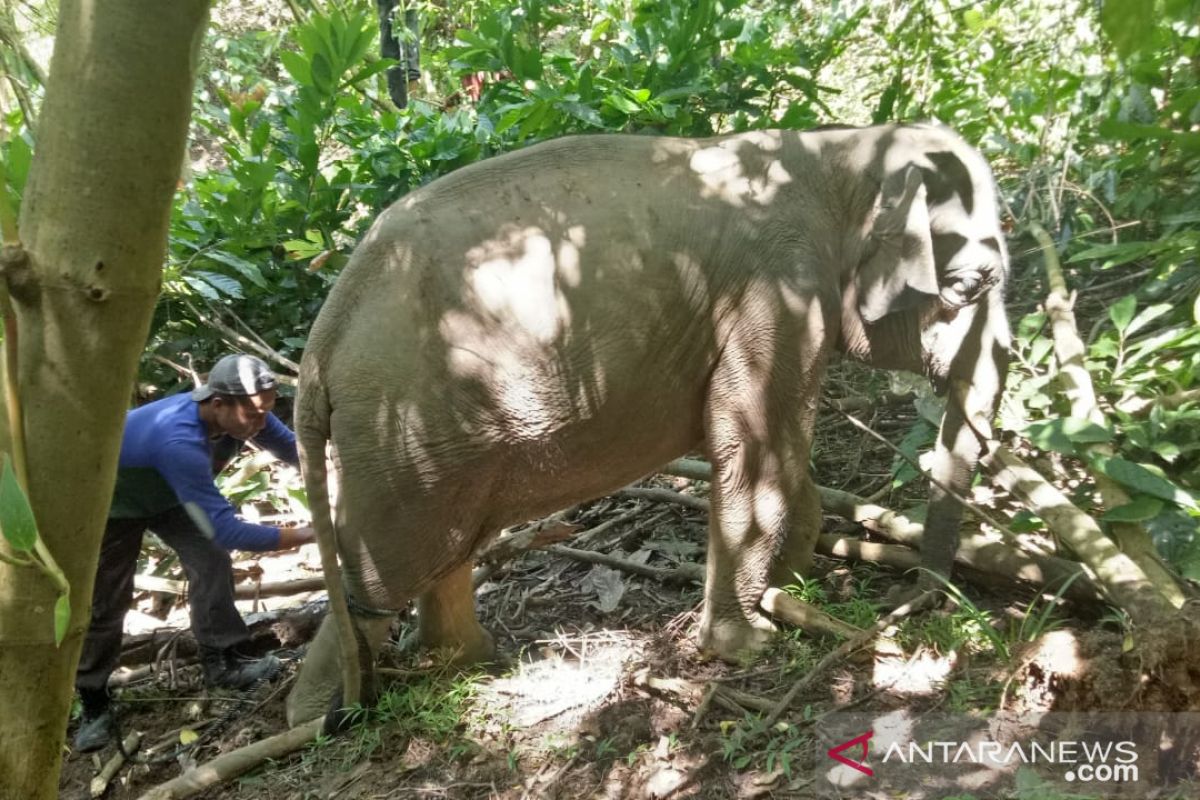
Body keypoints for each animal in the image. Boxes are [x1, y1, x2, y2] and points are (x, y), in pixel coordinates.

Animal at [288, 120, 1012, 724]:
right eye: (972, 284)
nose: (918, 604)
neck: (844, 148)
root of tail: (321, 342)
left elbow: (780, 453)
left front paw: (789, 587)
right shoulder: (777, 293)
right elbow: (753, 446)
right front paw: (746, 644)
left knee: (446, 550)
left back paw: (474, 663)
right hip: (400, 436)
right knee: (383, 573)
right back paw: (319, 717)